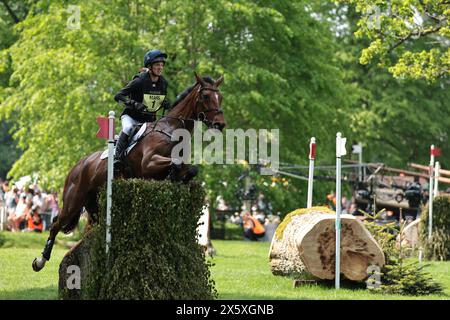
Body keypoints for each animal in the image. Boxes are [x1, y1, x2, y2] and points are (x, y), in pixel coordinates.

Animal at [32, 73, 225, 272]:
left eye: (220, 97)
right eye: (206, 96)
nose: (220, 124)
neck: (171, 130)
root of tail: (78, 165)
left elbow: (190, 168)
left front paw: (176, 178)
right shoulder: (149, 163)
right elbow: (177, 165)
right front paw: (173, 176)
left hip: (94, 206)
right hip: (73, 202)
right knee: (56, 224)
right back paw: (40, 261)